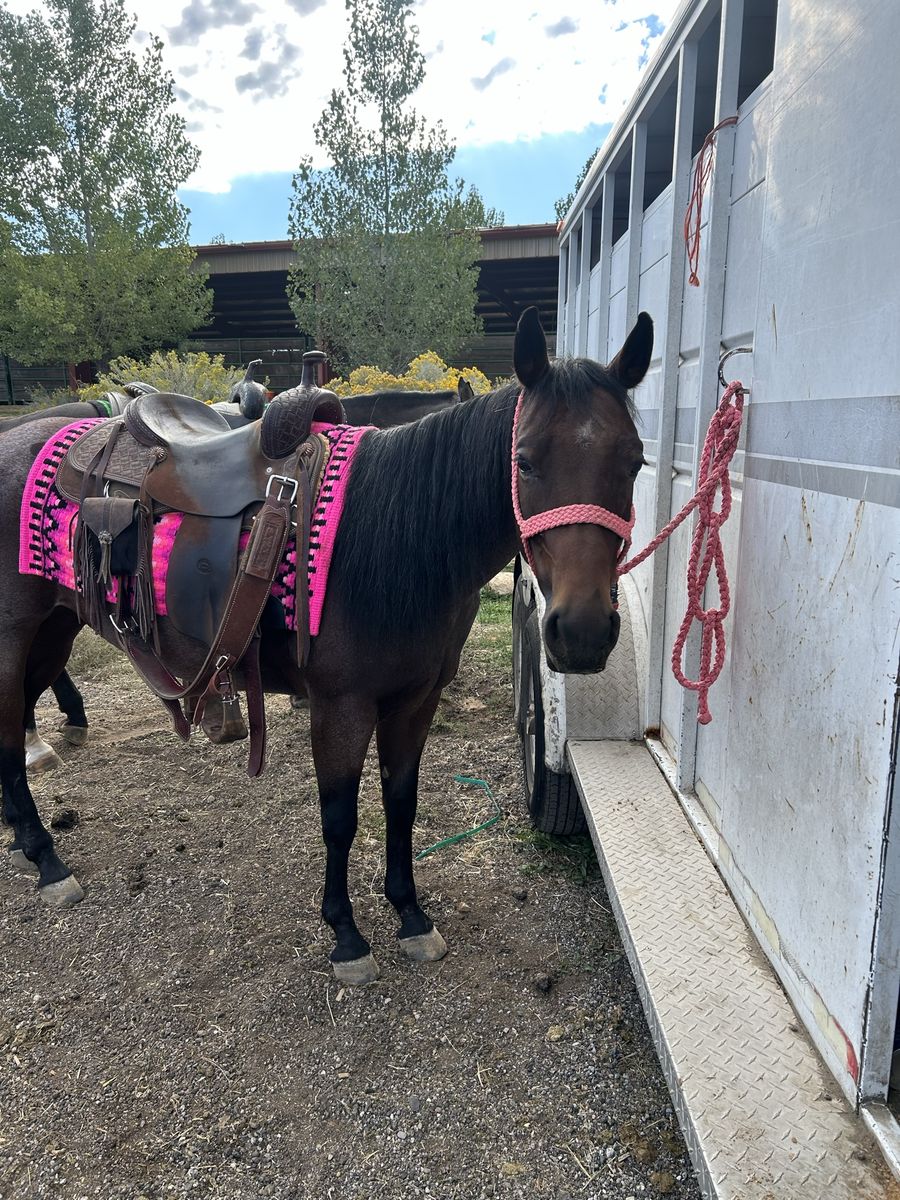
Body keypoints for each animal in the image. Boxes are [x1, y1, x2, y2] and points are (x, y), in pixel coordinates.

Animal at [0, 308, 650, 985]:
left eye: (635, 463)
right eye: (523, 461)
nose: (582, 631)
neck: (393, 535)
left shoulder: (415, 701)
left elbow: (401, 802)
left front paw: (410, 915)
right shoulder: (341, 707)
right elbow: (339, 818)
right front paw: (346, 935)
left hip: (54, 632)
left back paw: (24, 840)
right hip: (14, 638)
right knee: (7, 735)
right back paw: (47, 861)